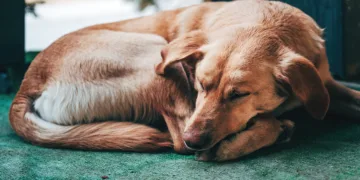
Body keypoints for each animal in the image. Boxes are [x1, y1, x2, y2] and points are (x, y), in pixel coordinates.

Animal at [8, 0, 360, 161]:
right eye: (200, 85)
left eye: (238, 94)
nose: (196, 140)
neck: (263, 18)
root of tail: (26, 86)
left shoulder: (325, 85)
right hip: (155, 58)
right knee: (177, 138)